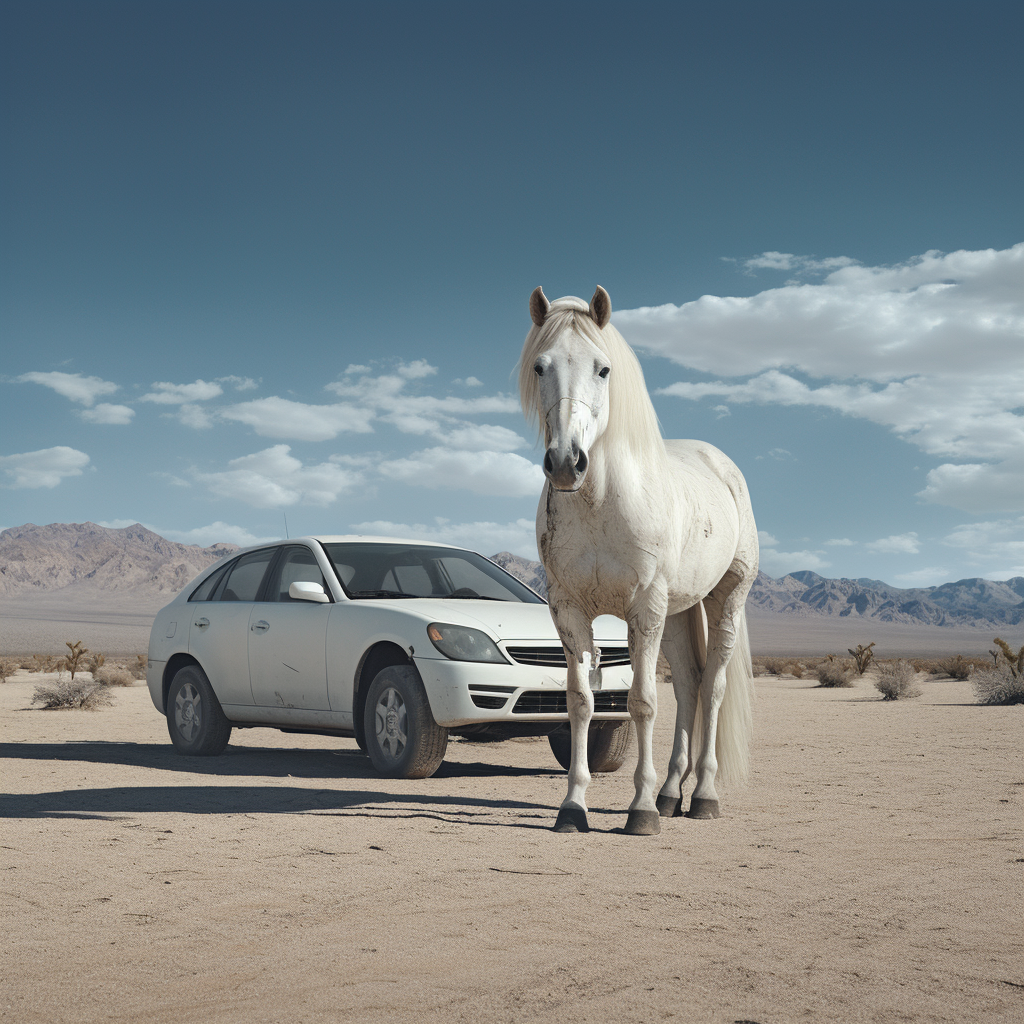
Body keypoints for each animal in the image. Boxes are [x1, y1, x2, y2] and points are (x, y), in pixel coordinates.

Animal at [524, 284, 757, 835]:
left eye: (603, 369)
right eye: (540, 367)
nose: (565, 463)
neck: (600, 503)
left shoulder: (642, 608)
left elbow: (644, 702)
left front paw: (641, 810)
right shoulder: (569, 609)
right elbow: (581, 702)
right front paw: (573, 806)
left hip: (725, 599)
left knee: (713, 687)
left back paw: (703, 795)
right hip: (675, 615)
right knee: (690, 686)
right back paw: (673, 792)